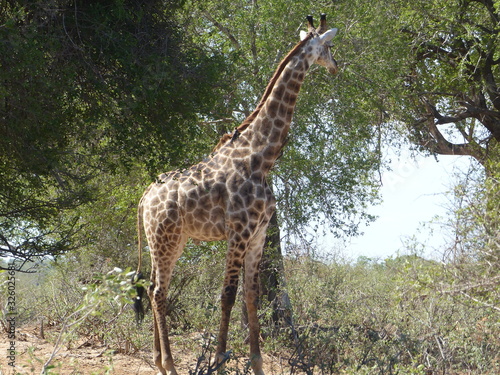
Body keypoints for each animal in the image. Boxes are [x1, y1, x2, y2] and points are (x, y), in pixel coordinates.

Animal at [137, 14, 338, 375]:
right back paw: (170, 363)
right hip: (164, 238)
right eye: (328, 46)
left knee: (152, 287)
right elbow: (228, 294)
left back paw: (159, 360)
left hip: (168, 240)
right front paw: (218, 360)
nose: (336, 67)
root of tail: (144, 197)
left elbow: (251, 297)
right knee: (159, 291)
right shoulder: (239, 231)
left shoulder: (258, 234)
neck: (261, 157)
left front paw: (257, 363)